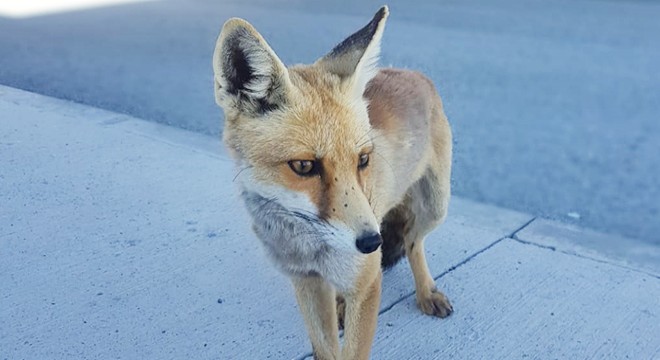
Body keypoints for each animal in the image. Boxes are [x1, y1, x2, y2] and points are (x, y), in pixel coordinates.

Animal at [211, 5, 454, 360]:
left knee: (412, 241)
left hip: (435, 207)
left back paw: (426, 290)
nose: (372, 242)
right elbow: (325, 347)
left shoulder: (367, 281)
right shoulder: (306, 281)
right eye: (303, 166)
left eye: (363, 159)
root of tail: (412, 72)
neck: (308, 247)